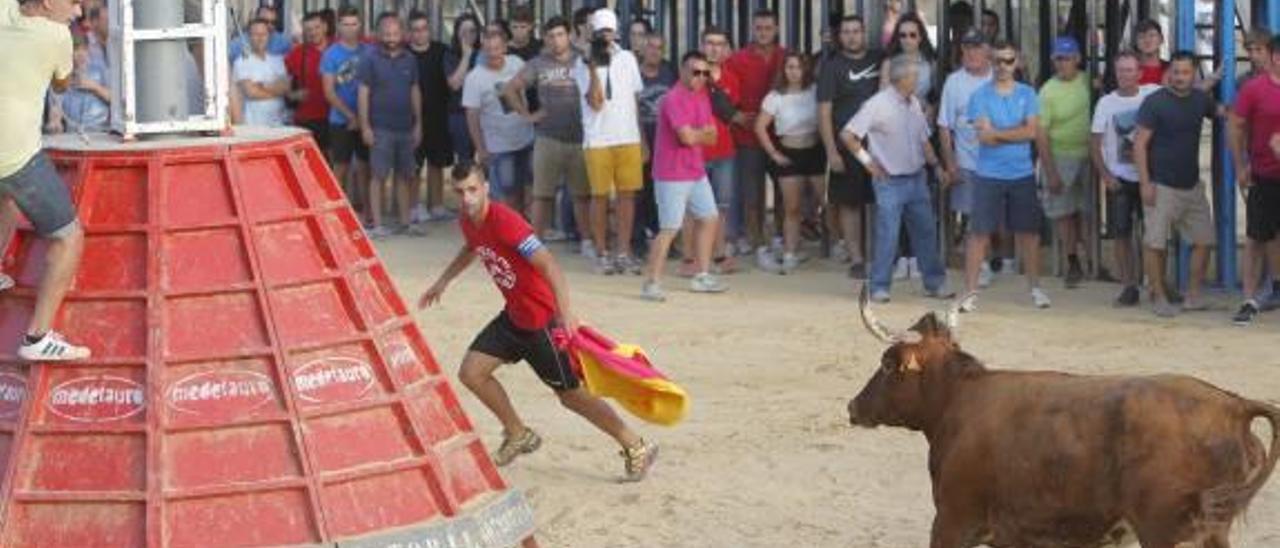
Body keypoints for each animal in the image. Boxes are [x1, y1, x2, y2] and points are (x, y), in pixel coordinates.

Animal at [849, 286, 1280, 548]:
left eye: (887, 364)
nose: (853, 407)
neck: (959, 399)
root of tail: (1232, 406)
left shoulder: (953, 521)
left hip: (1168, 532)